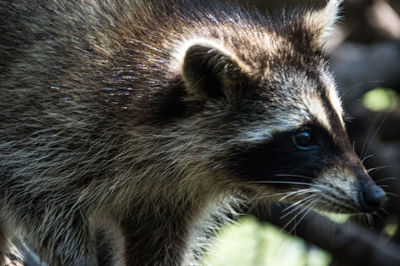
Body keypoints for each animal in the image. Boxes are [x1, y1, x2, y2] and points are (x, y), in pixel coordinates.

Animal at [0, 0, 388, 264]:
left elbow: (159, 244)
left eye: (339, 123)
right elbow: (40, 201)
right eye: (304, 138)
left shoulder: (171, 198)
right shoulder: (51, 124)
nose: (375, 195)